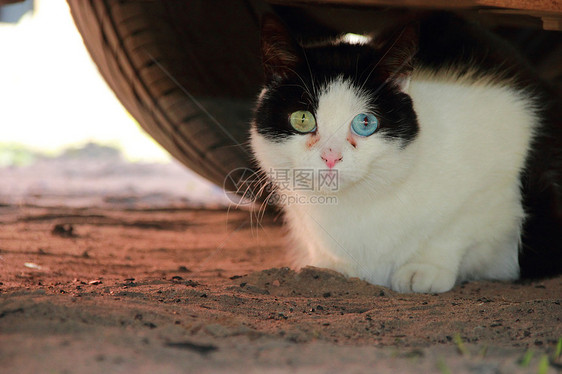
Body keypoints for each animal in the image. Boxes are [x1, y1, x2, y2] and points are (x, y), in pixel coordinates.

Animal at [249, 11, 560, 294]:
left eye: (365, 123)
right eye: (302, 119)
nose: (331, 157)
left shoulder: (498, 167)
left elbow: (456, 227)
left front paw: (424, 268)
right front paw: (329, 267)